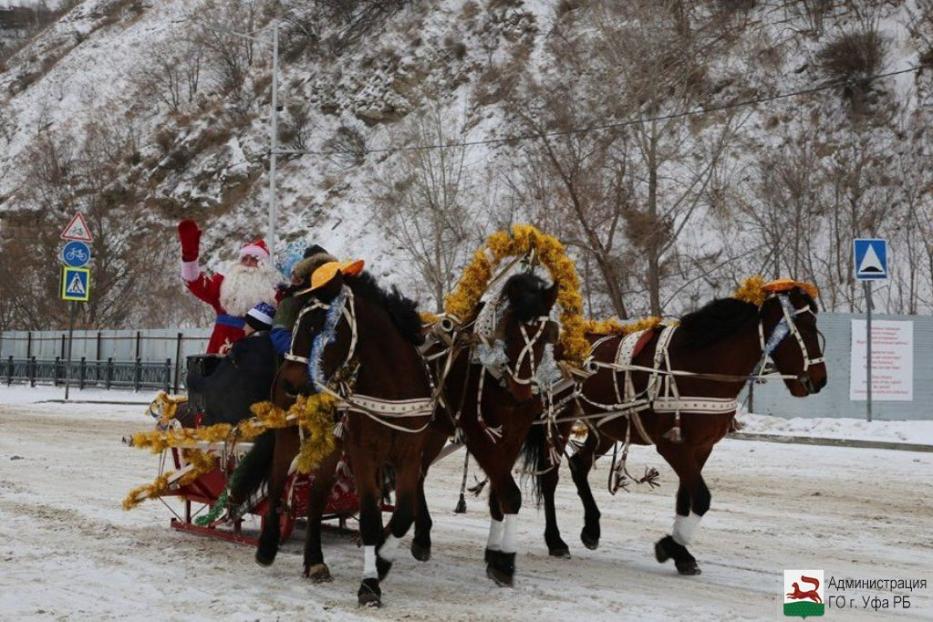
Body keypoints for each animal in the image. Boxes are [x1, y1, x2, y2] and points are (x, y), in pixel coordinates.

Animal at [260, 270, 432, 608]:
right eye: (297, 323)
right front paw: (369, 585)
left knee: (315, 498)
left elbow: (404, 514)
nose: (288, 383)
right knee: (275, 481)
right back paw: (268, 545)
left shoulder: (409, 453)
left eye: (318, 327)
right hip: (289, 435)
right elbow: (369, 519)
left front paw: (381, 561)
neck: (392, 387)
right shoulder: (365, 454)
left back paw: (314, 561)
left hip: (331, 446)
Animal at [412, 272, 556, 584]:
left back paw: (421, 535)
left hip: (434, 431)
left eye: (545, 337)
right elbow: (510, 494)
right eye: (510, 334)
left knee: (416, 471)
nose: (522, 391)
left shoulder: (514, 436)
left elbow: (497, 496)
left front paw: (494, 555)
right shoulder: (478, 435)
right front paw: (507, 562)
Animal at [524, 286, 824, 576]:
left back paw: (591, 529)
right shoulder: (672, 446)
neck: (697, 368)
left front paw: (681, 553)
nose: (819, 380)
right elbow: (701, 498)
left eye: (814, 325)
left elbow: (685, 499)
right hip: (559, 418)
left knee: (579, 465)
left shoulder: (701, 447)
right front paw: (670, 546)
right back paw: (555, 540)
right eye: (802, 328)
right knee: (550, 476)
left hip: (607, 427)